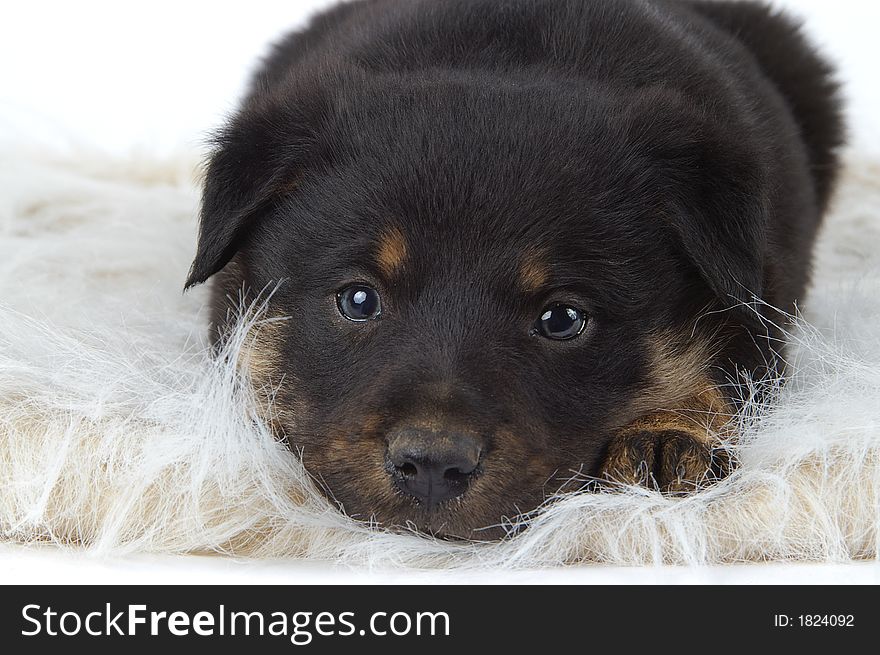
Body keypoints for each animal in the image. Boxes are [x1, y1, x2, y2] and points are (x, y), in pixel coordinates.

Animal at [187, 0, 844, 540]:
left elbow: (727, 372)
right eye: (358, 300)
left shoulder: (758, 297)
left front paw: (666, 435)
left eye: (562, 319)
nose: (433, 465)